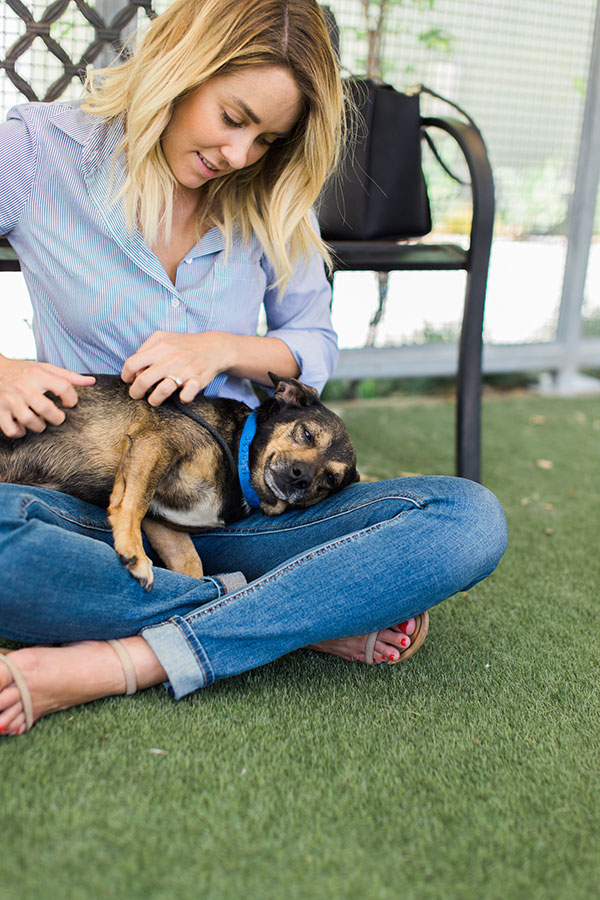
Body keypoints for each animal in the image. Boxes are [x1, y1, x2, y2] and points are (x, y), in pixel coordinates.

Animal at [0, 372, 356, 592]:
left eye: (330, 479)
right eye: (306, 434)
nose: (302, 477)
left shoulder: (164, 523)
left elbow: (189, 561)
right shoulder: (155, 443)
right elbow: (133, 501)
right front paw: (133, 551)